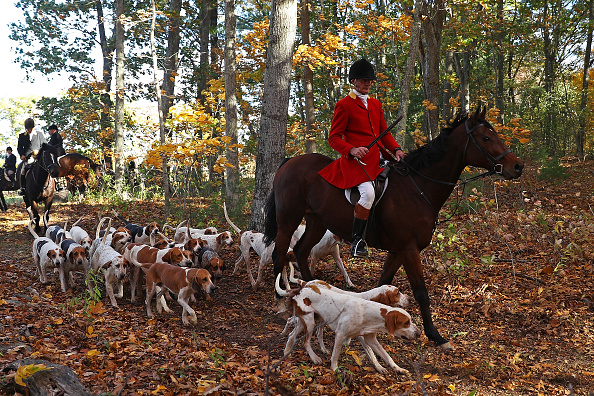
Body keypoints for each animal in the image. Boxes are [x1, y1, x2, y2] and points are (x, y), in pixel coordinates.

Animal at [264, 105, 524, 350]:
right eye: (486, 138)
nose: (517, 166)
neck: (418, 187)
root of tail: (290, 161)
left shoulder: (398, 250)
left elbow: (383, 282)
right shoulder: (409, 249)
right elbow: (421, 293)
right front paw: (435, 336)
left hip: (317, 222)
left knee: (301, 251)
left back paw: (317, 292)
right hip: (288, 220)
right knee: (280, 254)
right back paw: (281, 303)